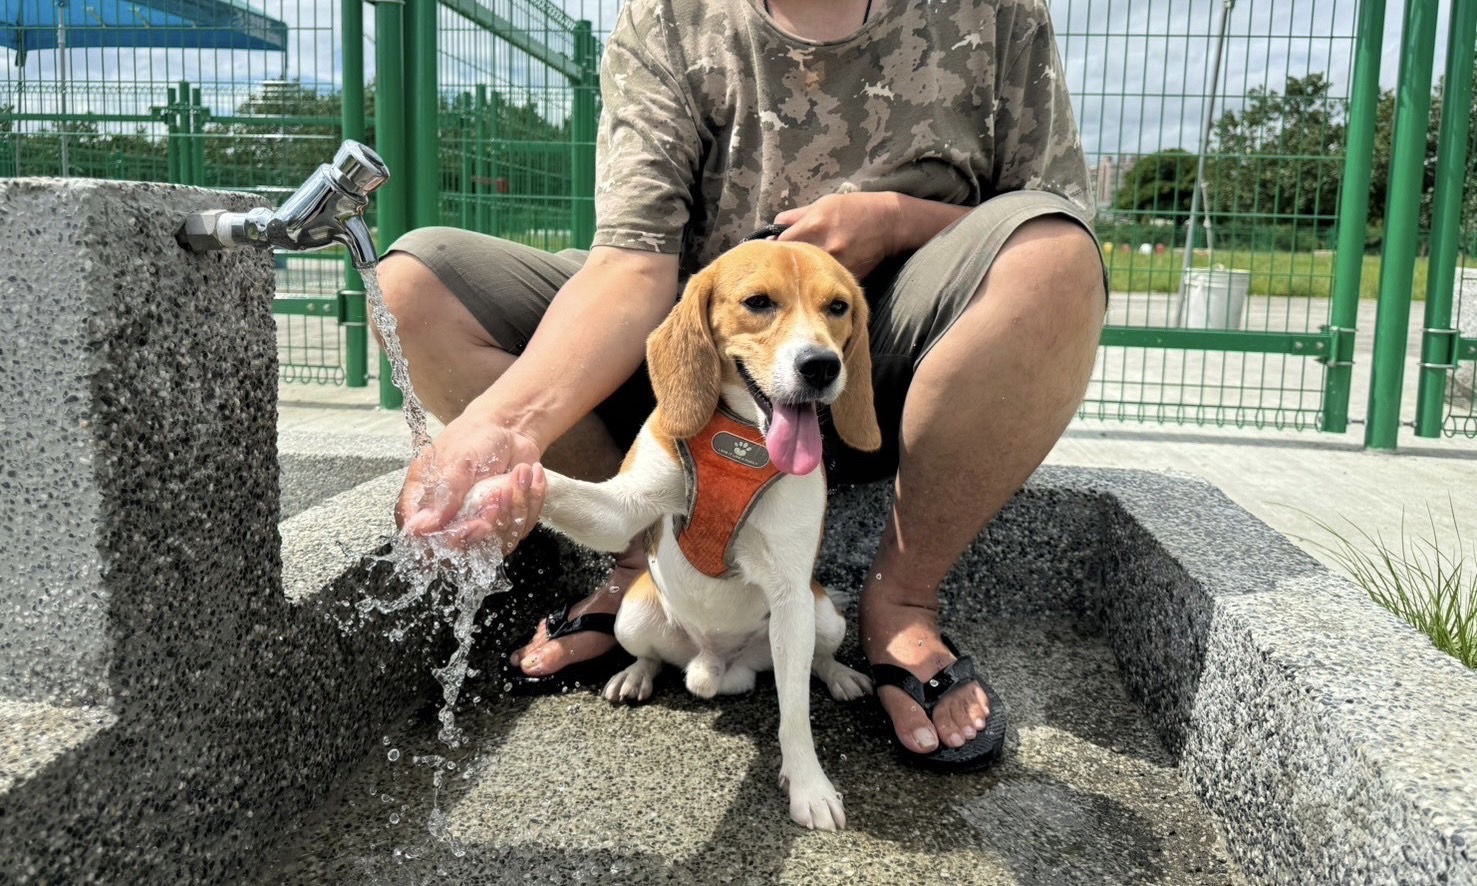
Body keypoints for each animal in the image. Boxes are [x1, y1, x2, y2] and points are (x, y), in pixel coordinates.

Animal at [484, 242, 880, 832]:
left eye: (838, 307)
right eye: (758, 302)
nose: (821, 365)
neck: (742, 438)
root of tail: (717, 663)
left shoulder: (791, 597)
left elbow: (795, 711)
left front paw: (809, 784)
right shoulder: (622, 510)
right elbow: (562, 491)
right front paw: (490, 483)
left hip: (822, 615)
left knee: (814, 660)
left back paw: (838, 674)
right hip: (630, 615)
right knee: (651, 654)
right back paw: (636, 674)